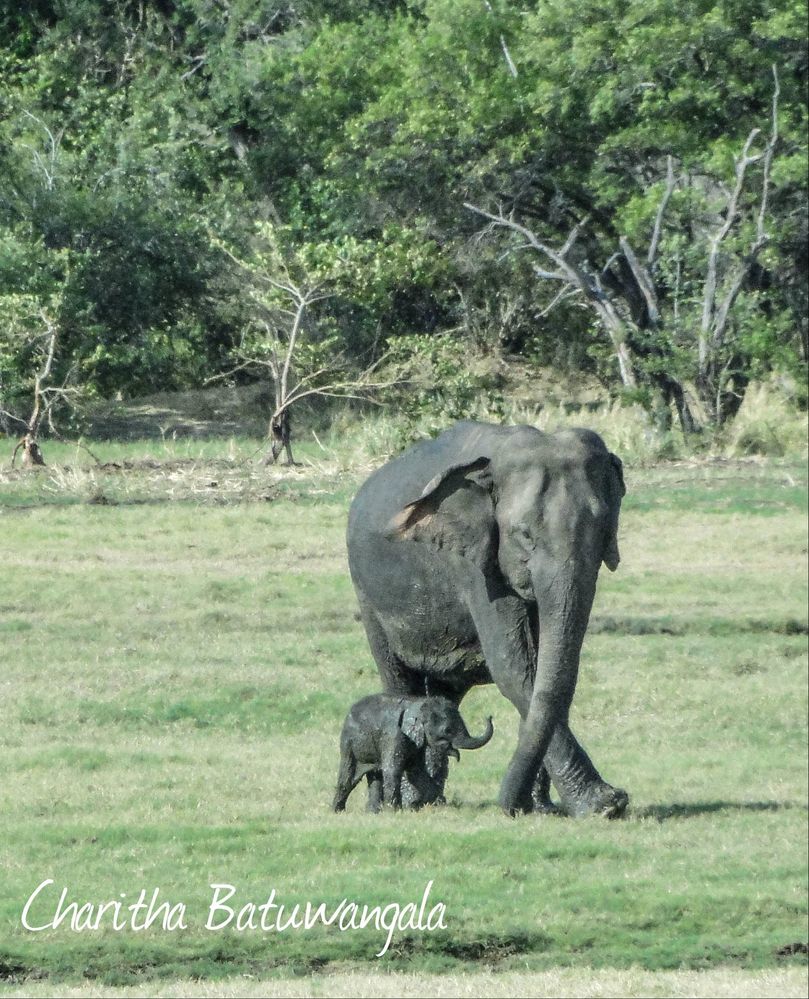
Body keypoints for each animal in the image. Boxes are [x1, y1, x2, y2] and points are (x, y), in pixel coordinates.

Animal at [330, 696, 492, 812]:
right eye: (447, 730)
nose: (489, 716)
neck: (417, 704)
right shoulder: (393, 736)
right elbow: (393, 770)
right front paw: (395, 811)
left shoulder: (416, 744)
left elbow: (417, 771)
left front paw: (430, 804)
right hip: (348, 744)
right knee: (348, 776)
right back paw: (337, 811)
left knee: (375, 776)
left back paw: (373, 812)